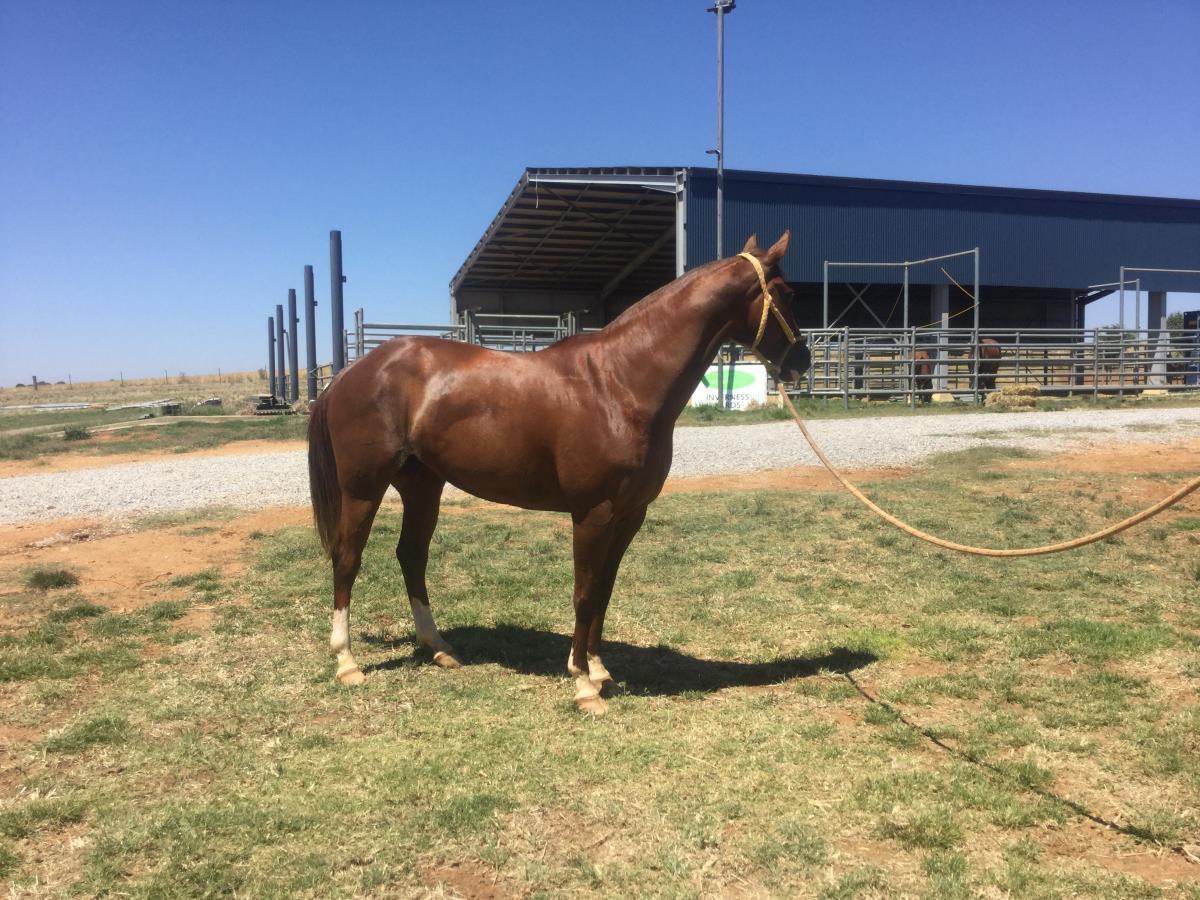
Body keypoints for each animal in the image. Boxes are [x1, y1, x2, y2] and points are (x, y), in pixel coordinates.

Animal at [307, 232, 810, 715]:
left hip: (422, 485)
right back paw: (347, 661)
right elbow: (584, 593)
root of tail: (353, 371)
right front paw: (584, 685)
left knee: (411, 555)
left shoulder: (630, 515)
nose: (802, 361)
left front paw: (598, 669)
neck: (619, 383)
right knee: (348, 558)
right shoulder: (593, 513)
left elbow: (604, 589)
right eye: (786, 293)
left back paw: (439, 648)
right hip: (363, 488)